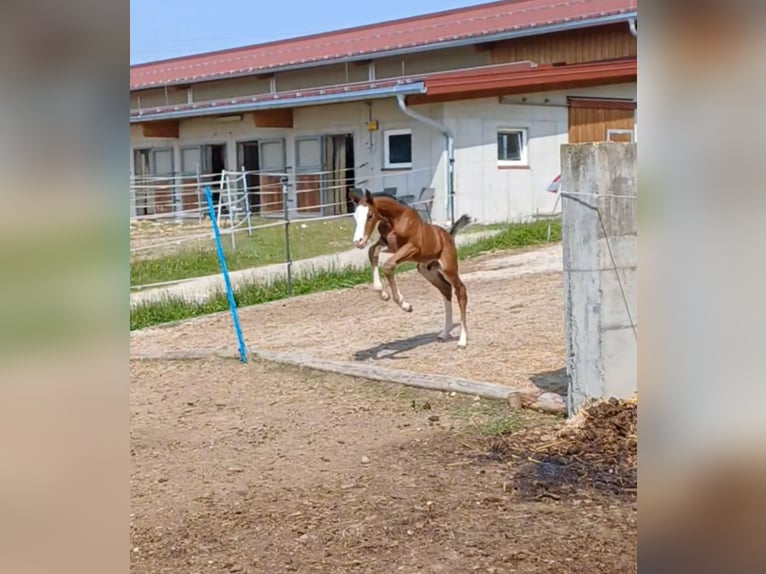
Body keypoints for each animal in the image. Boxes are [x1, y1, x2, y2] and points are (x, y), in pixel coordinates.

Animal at [350, 189, 471, 348]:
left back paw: (462, 340)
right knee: (446, 290)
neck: (396, 219)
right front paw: (383, 294)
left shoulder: (412, 247)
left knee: (460, 291)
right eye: (355, 216)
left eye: (370, 215)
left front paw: (405, 305)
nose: (358, 242)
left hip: (448, 269)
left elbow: (388, 265)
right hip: (427, 270)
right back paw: (444, 333)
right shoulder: (388, 245)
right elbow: (372, 252)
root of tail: (448, 237)